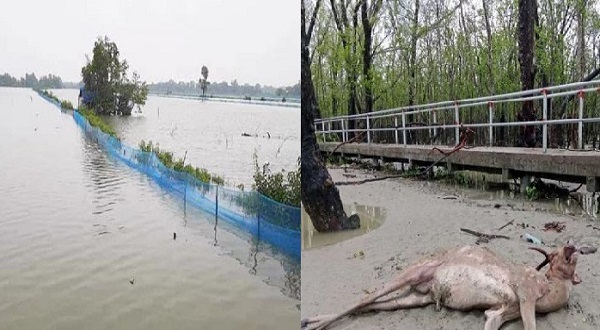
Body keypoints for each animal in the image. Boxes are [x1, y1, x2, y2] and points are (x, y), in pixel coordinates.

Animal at [302, 242, 584, 330]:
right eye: (554, 254)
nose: (572, 247)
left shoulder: (502, 311)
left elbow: (492, 318)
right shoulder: (526, 292)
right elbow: (530, 324)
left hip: (417, 297)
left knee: (377, 305)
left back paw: (311, 320)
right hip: (414, 271)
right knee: (365, 299)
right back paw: (312, 323)